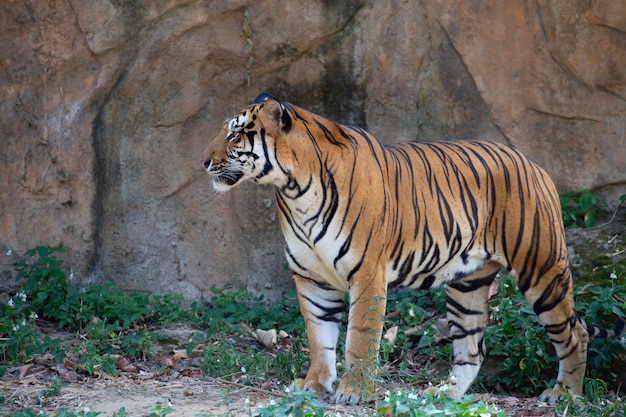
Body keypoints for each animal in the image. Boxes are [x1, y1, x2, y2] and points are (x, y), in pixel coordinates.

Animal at [202, 92, 620, 404]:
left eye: (234, 135)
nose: (204, 162)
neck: (292, 188)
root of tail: (534, 163)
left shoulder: (367, 273)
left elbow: (359, 336)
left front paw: (353, 391)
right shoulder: (311, 277)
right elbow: (319, 335)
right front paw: (315, 384)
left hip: (542, 269)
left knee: (574, 334)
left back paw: (565, 394)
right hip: (467, 285)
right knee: (473, 348)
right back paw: (443, 395)